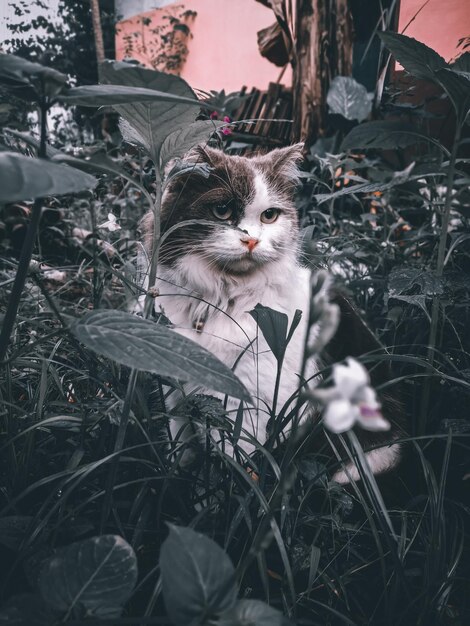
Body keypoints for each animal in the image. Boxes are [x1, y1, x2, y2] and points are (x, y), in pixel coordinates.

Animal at [140, 144, 400, 480]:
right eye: (222, 211)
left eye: (269, 216)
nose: (251, 240)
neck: (220, 301)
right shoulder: (177, 391)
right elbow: (180, 456)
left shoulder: (247, 405)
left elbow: (233, 473)